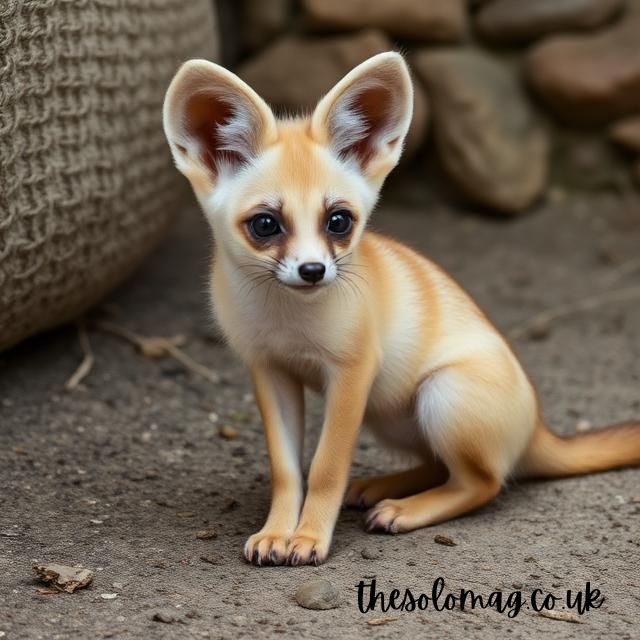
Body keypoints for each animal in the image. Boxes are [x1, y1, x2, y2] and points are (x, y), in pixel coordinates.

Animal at [162, 52, 640, 566]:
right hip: (390, 414)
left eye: (339, 221)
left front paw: (308, 536)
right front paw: (277, 531)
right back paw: (384, 486)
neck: (287, 315)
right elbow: (288, 470)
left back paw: (406, 509)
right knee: (438, 465)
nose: (313, 270)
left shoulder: (352, 374)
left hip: (441, 394)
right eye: (266, 225)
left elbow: (326, 467)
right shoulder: (270, 372)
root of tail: (539, 430)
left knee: (482, 482)